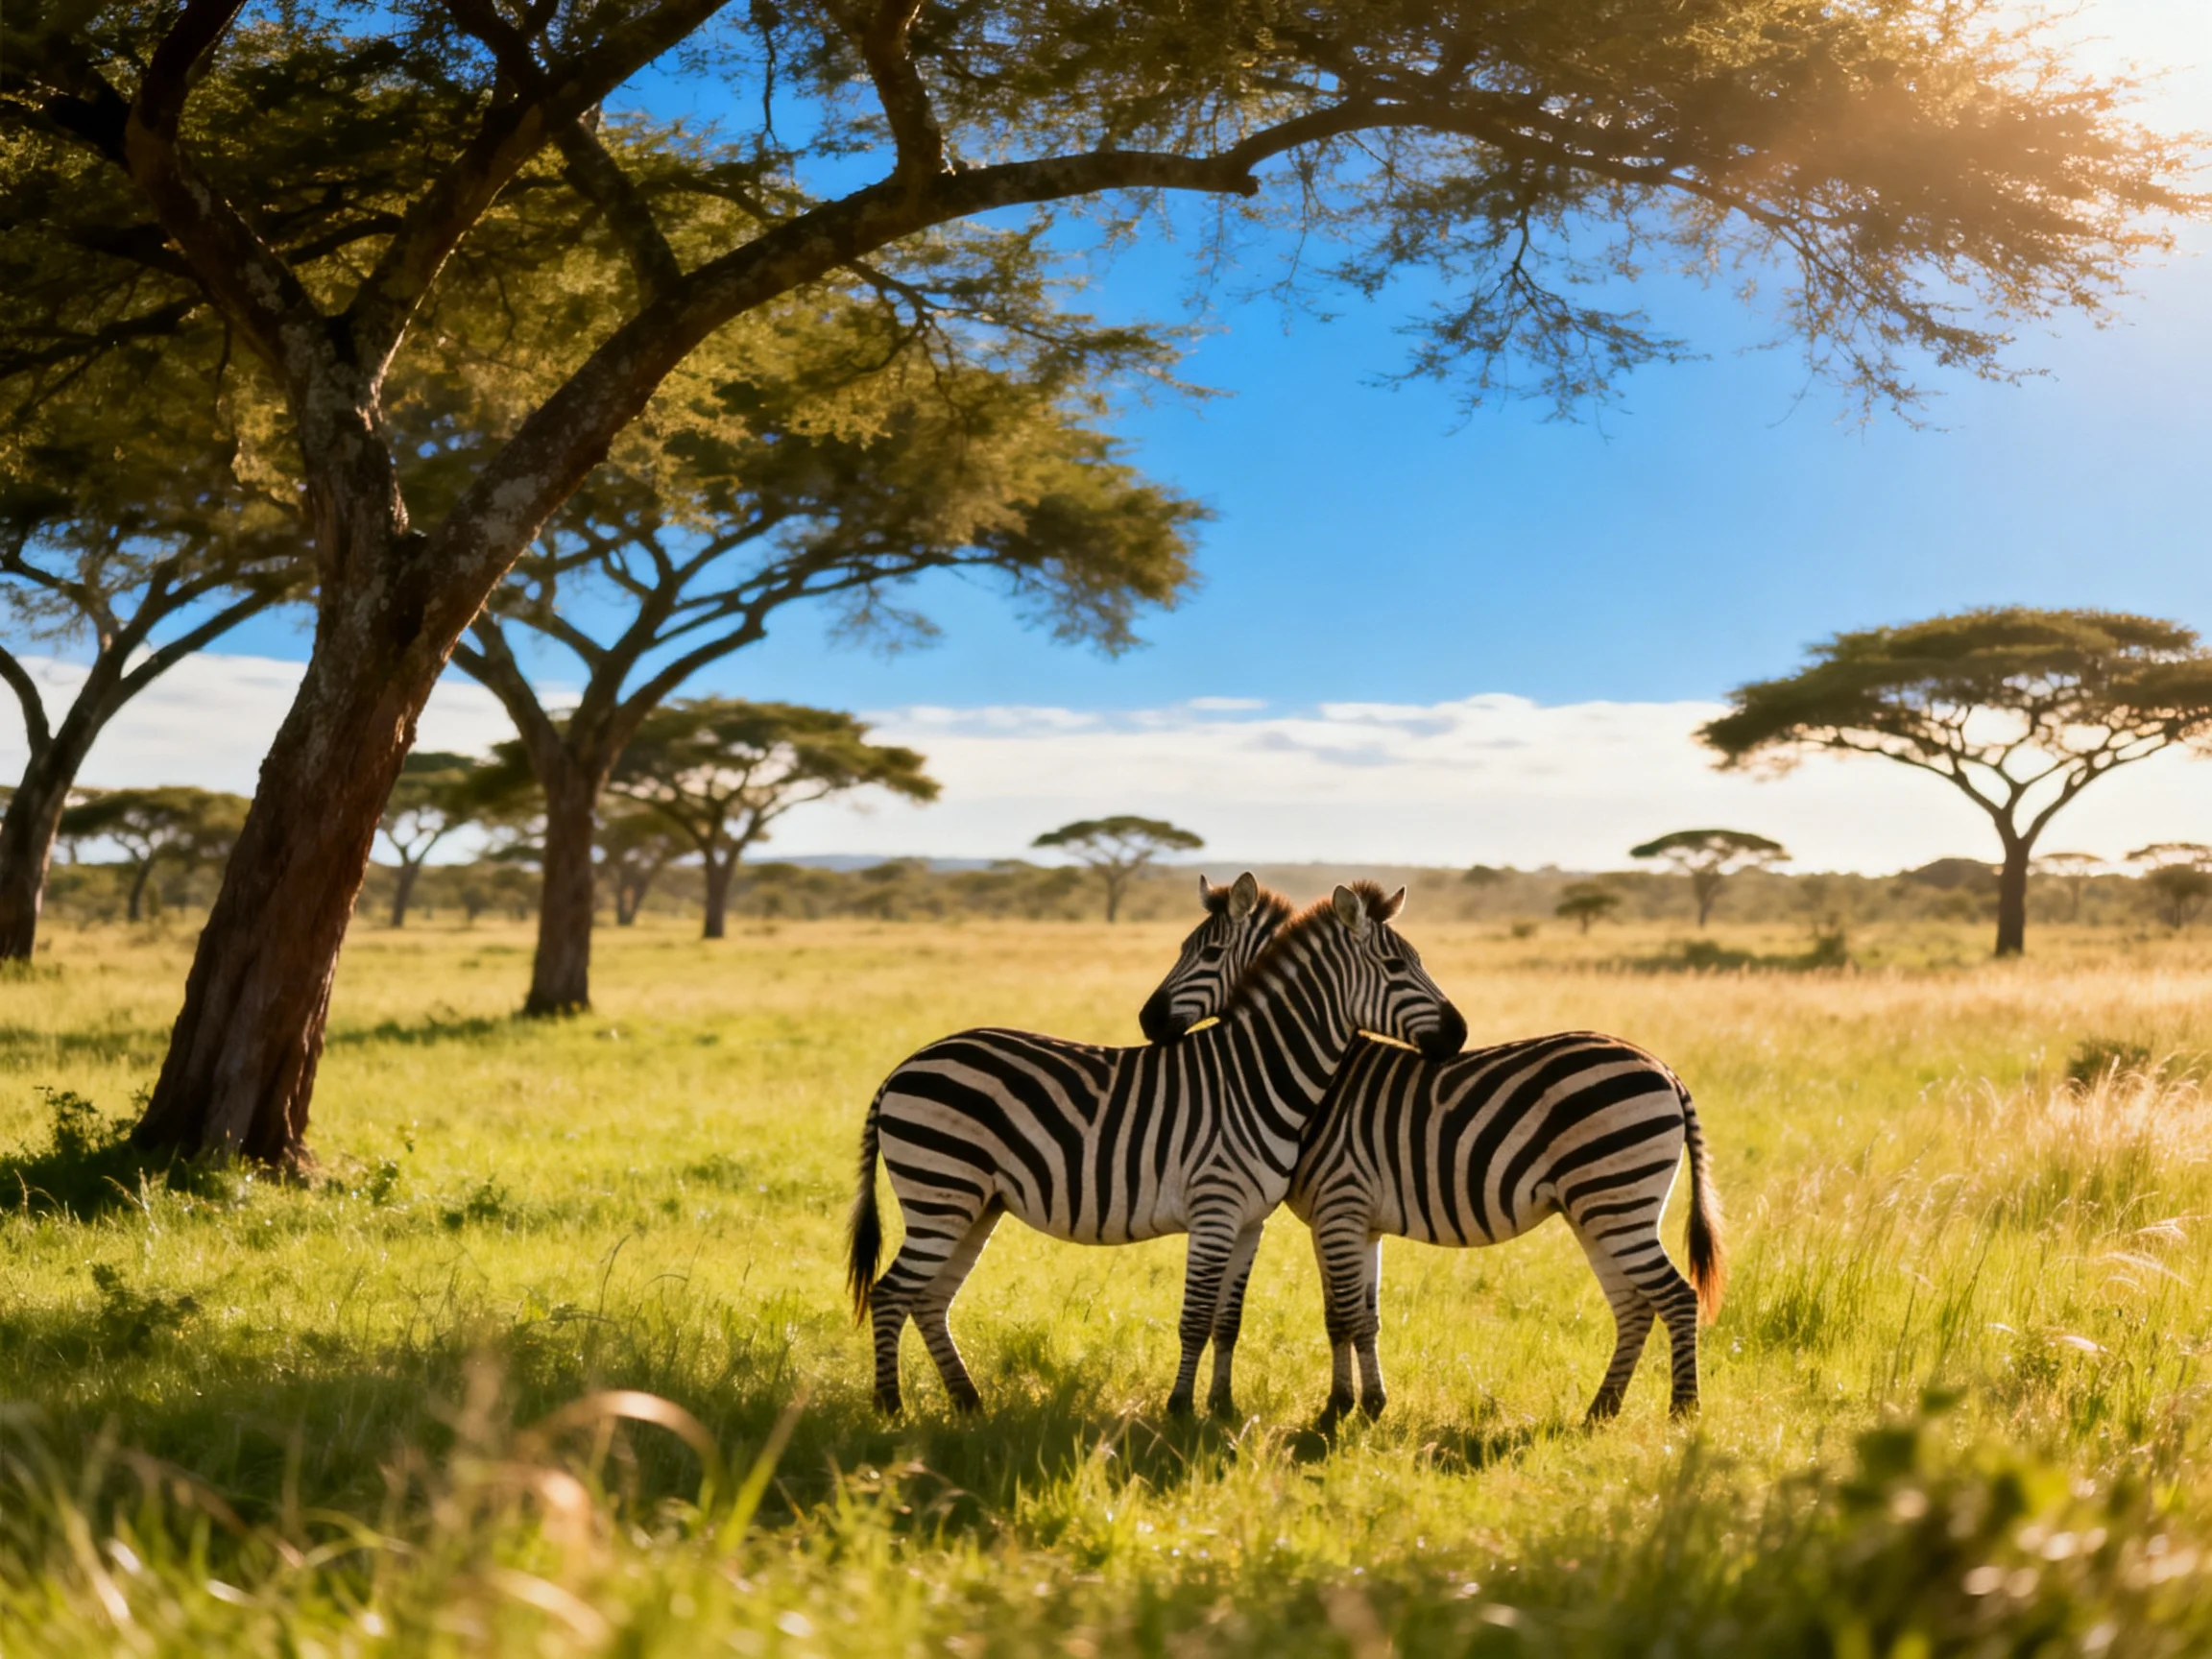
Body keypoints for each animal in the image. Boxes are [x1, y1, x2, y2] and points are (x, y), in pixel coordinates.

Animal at [847, 882, 1468, 1418]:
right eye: (1396, 967)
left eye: (1208, 952)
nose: (1460, 1035)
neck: (1256, 1073)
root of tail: (905, 1065)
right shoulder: (1214, 1208)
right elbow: (1195, 1317)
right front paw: (1180, 1409)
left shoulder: (1250, 1221)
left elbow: (1227, 1320)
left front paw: (1222, 1407)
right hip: (941, 1190)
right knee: (891, 1293)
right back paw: (890, 1407)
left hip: (974, 1203)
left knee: (929, 1298)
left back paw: (966, 1401)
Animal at [1141, 897, 1725, 1425]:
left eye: (1208, 953)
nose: (1147, 1020)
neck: (1324, 1077)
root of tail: (1665, 1069)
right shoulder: (1347, 1220)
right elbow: (1348, 1316)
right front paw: (1359, 1405)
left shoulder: (1341, 1204)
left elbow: (1345, 1316)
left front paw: (1340, 1411)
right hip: (1600, 1210)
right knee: (1635, 1305)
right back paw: (1599, 1412)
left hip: (1616, 1199)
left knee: (1677, 1296)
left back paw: (1682, 1413)